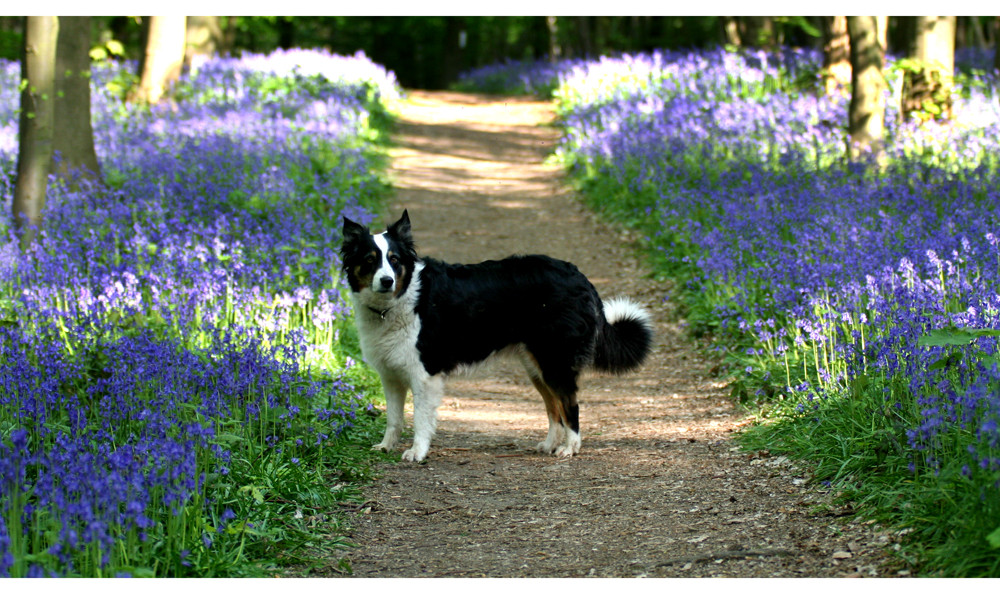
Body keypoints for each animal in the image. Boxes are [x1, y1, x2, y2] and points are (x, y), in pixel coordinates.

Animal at [340, 210, 652, 460]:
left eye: (394, 260)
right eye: (370, 260)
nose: (387, 280)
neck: (398, 301)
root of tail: (581, 277)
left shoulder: (424, 374)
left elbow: (419, 419)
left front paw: (417, 452)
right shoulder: (391, 375)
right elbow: (393, 419)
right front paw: (386, 446)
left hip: (554, 362)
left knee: (570, 405)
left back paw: (569, 448)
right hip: (536, 366)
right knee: (554, 408)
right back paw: (550, 444)